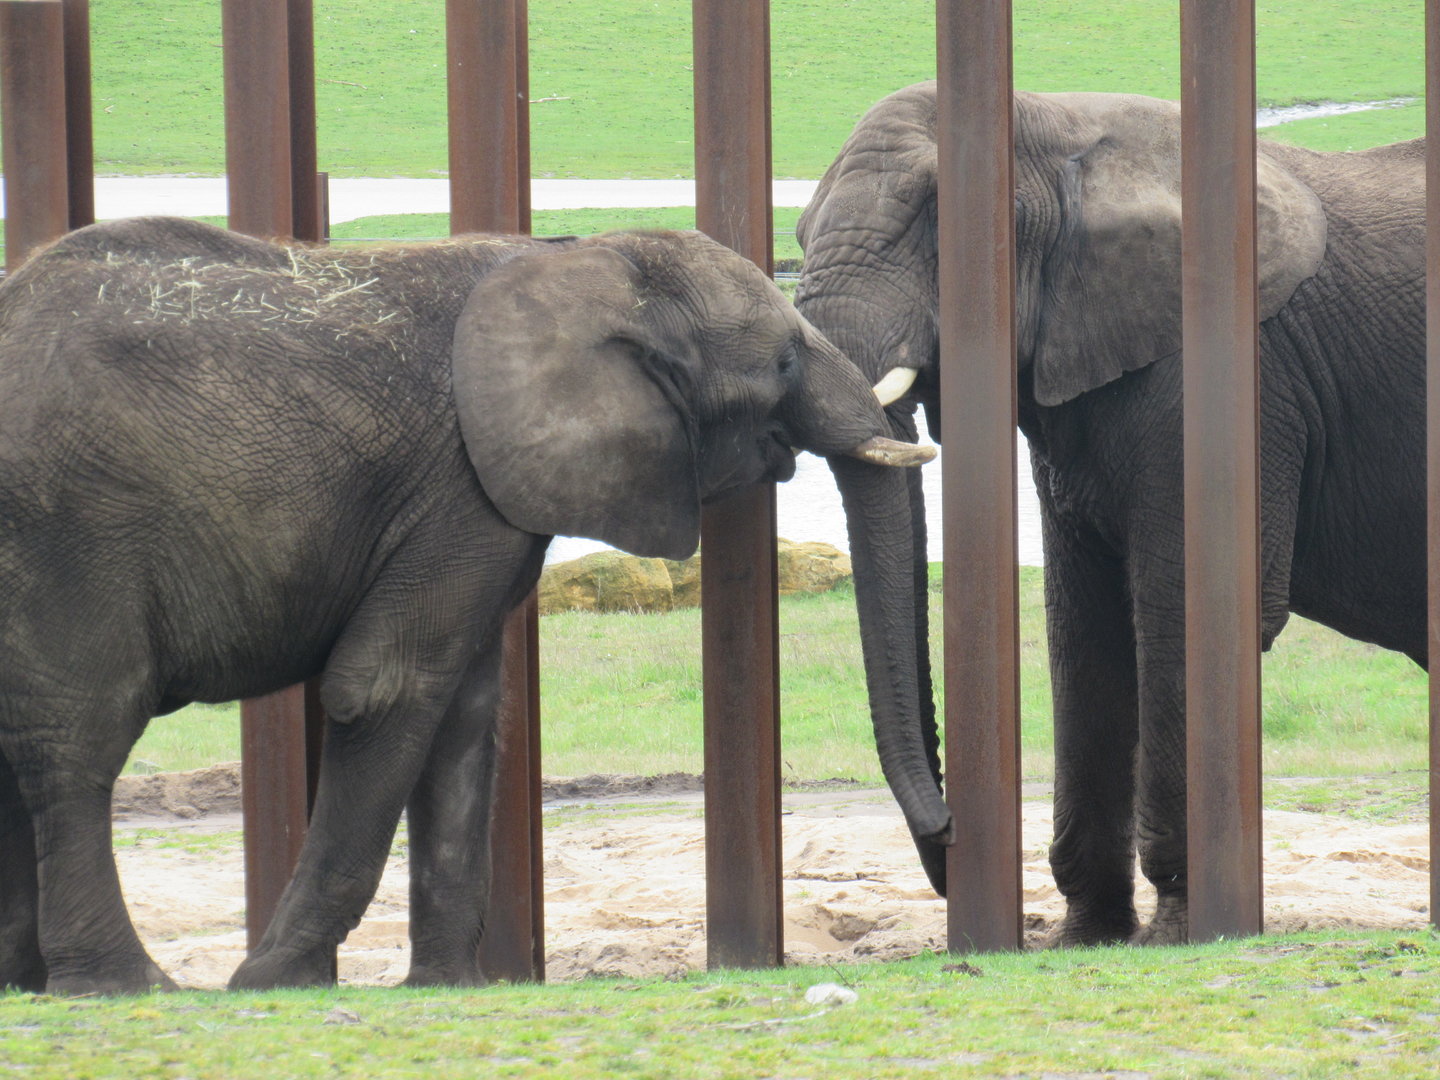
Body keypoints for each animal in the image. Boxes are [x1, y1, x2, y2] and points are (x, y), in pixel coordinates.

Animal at [0, 216, 938, 995]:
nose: (945, 836)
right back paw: (126, 985)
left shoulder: (488, 496)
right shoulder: (459, 485)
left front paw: (449, 986)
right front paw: (270, 981)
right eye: (783, 362)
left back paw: (26, 982)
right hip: (70, 529)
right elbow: (388, 687)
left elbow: (468, 711)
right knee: (80, 737)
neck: (582, 262)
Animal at [795, 81, 1424, 944]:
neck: (1060, 126)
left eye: (936, 220)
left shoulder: (1228, 383)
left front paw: (1180, 928)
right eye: (794, 234)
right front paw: (1086, 935)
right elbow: (1084, 632)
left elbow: (1182, 617)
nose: (950, 838)